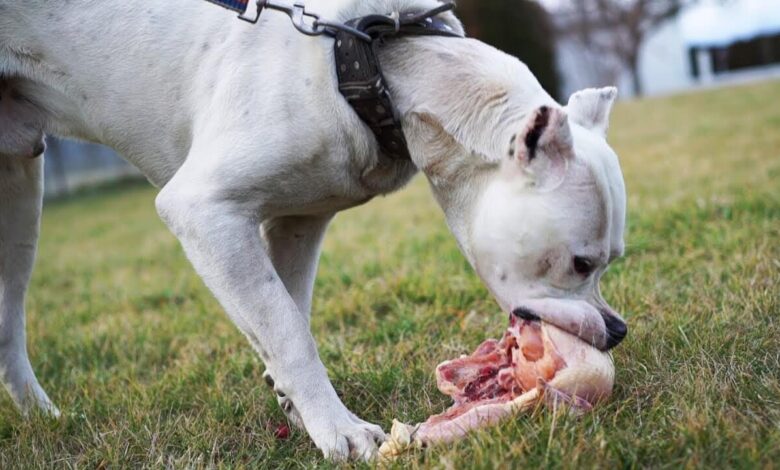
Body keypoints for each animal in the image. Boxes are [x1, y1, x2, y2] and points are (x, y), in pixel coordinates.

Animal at [1, 0, 628, 462]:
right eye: (580, 263)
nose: (618, 330)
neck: (374, 64)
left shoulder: (299, 224)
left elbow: (287, 315)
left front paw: (298, 407)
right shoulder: (203, 211)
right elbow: (287, 331)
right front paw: (339, 430)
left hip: (19, 188)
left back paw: (42, 420)